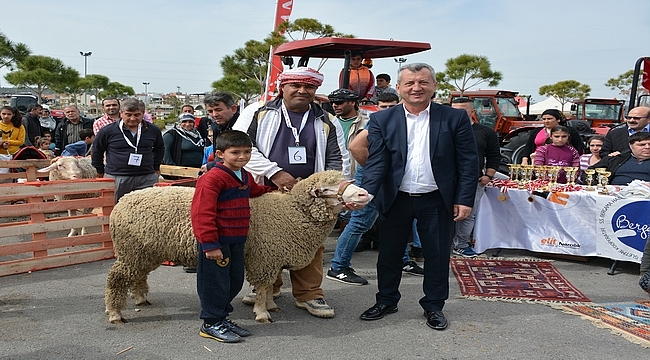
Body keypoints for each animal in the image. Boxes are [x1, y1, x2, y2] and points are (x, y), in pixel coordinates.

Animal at [104, 170, 368, 324]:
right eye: (326, 189)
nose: (364, 194)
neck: (288, 213)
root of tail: (123, 201)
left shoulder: (271, 256)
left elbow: (269, 285)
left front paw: (270, 305)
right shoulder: (264, 257)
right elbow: (263, 286)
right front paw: (262, 312)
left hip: (143, 251)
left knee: (138, 275)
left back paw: (140, 298)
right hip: (131, 250)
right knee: (116, 278)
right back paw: (115, 313)